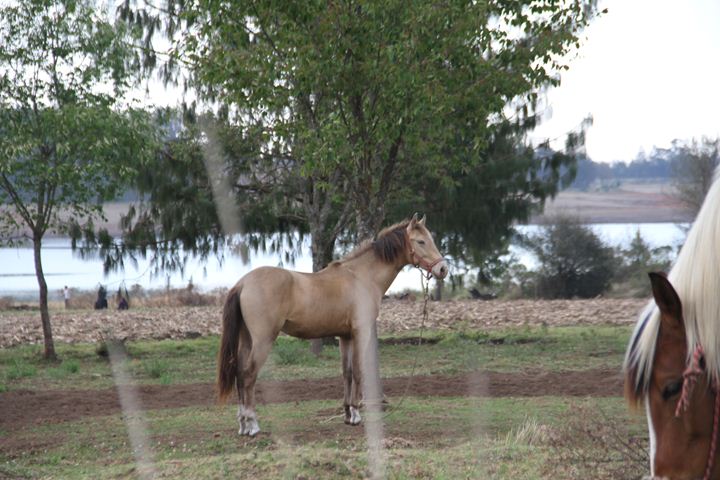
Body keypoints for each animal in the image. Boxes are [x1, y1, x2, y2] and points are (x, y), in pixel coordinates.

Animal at [217, 214, 448, 436]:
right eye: (421, 241)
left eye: (431, 239)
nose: (443, 269)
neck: (361, 277)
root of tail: (243, 283)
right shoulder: (360, 332)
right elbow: (358, 371)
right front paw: (356, 414)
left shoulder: (345, 336)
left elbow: (347, 373)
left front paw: (348, 413)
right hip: (263, 340)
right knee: (248, 375)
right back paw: (252, 425)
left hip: (246, 340)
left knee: (239, 374)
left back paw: (242, 424)